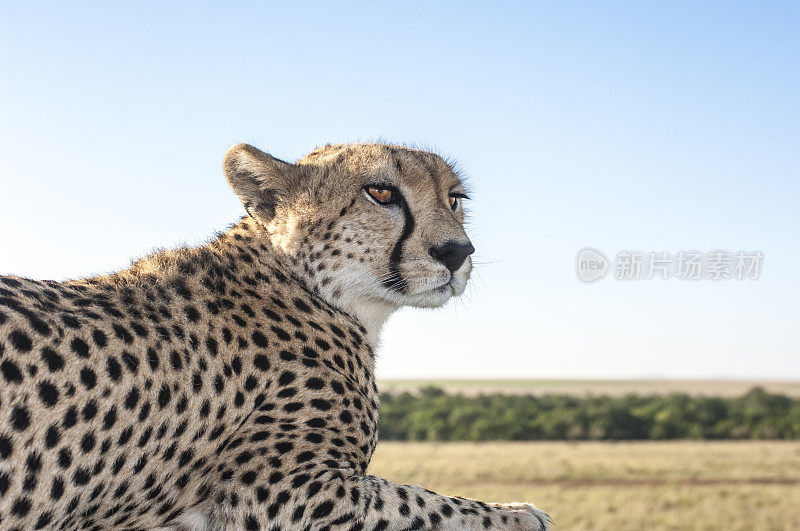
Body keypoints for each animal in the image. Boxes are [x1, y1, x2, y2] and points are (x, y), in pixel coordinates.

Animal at [0, 143, 548, 528]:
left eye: (455, 200)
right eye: (382, 193)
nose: (457, 252)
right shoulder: (280, 494)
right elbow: (426, 505)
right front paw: (518, 515)